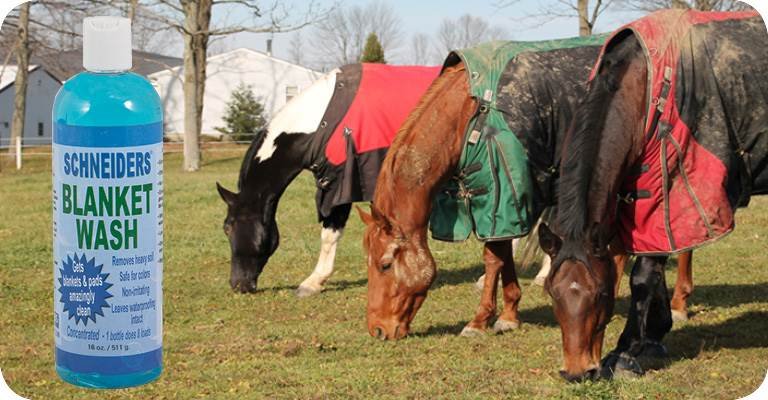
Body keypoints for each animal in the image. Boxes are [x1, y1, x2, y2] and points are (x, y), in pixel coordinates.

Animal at [217, 64, 440, 294]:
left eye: (228, 228)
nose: (238, 285)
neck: (321, 124)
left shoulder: (340, 187)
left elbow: (330, 236)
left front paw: (313, 282)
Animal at [539, 10, 767, 381]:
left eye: (600, 294)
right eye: (552, 293)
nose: (577, 372)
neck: (645, 88)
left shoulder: (668, 193)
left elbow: (643, 276)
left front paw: (627, 350)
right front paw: (654, 336)